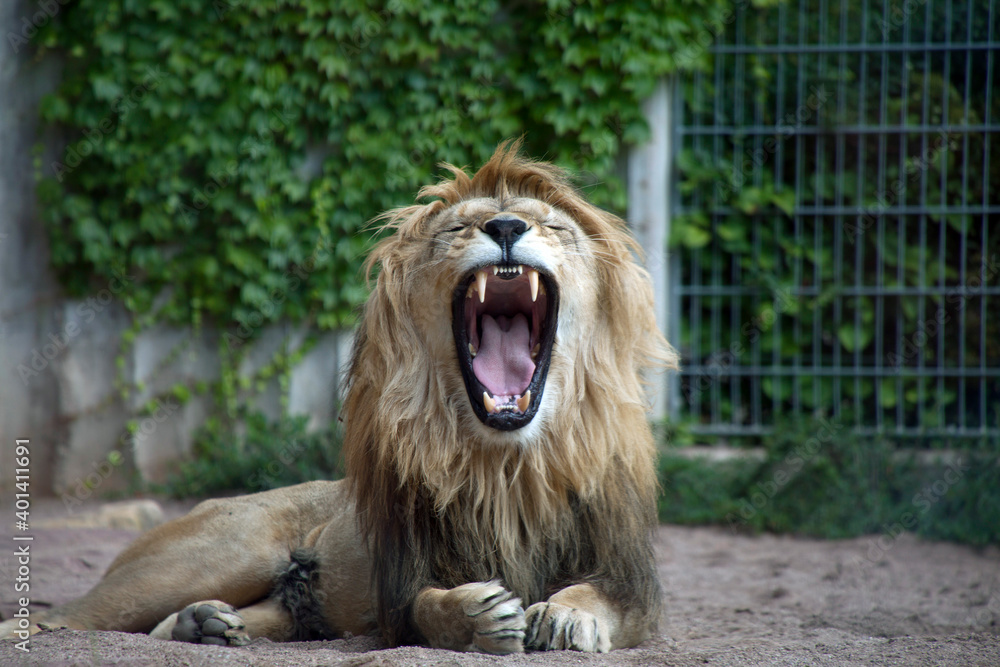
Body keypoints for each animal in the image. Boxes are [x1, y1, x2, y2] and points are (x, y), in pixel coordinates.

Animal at [0, 140, 677, 654]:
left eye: (552, 227)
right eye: (460, 227)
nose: (507, 226)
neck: (508, 464)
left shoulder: (631, 580)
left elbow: (601, 597)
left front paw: (566, 614)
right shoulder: (399, 586)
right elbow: (426, 610)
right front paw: (476, 616)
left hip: (283, 609)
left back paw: (206, 626)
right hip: (227, 551)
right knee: (64, 616)